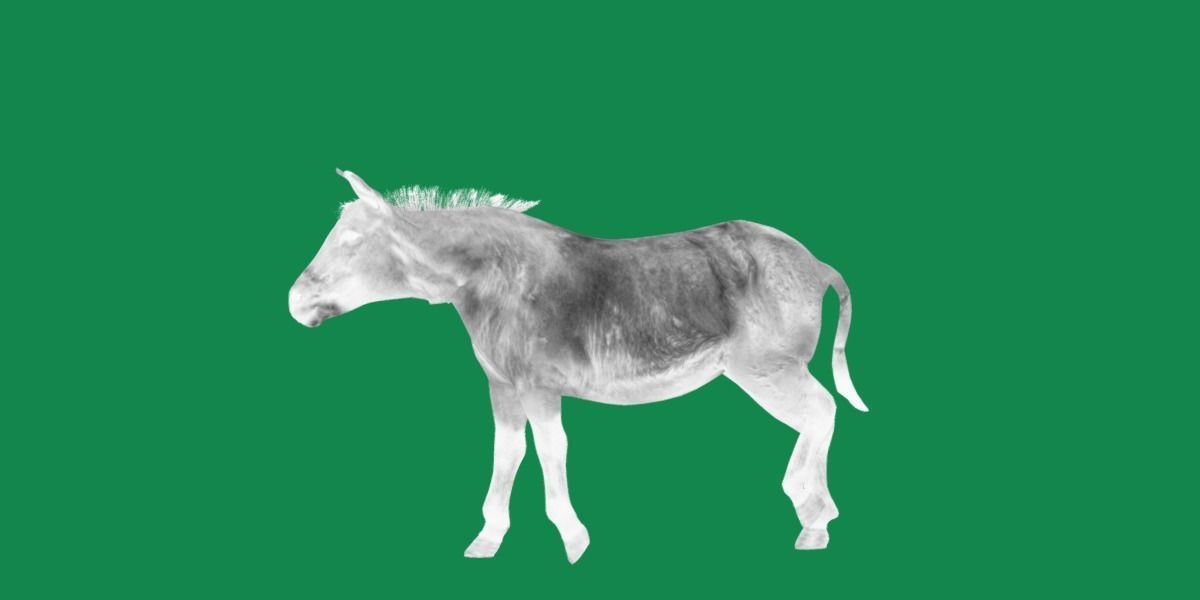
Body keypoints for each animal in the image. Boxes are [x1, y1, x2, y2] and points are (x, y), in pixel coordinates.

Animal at [289, 169, 870, 563]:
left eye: (352, 241)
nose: (294, 303)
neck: (493, 279)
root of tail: (816, 263)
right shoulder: (502, 386)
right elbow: (507, 454)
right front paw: (488, 538)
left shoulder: (540, 386)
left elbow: (551, 451)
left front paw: (572, 538)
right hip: (770, 370)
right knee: (820, 415)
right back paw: (814, 510)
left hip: (768, 369)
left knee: (821, 411)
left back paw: (813, 515)